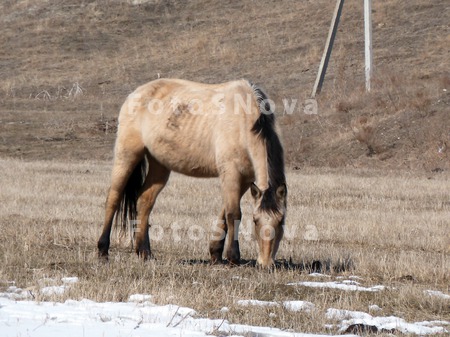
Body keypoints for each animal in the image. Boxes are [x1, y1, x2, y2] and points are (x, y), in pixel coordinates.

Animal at [97, 77, 288, 266]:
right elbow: (233, 213)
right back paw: (103, 251)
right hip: (127, 155)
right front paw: (233, 257)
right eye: (255, 220)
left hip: (159, 165)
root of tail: (135, 93)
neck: (244, 121)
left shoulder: (246, 179)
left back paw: (144, 252)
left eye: (281, 221)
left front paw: (216, 254)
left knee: (145, 201)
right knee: (113, 198)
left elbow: (224, 212)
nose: (265, 263)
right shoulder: (231, 174)